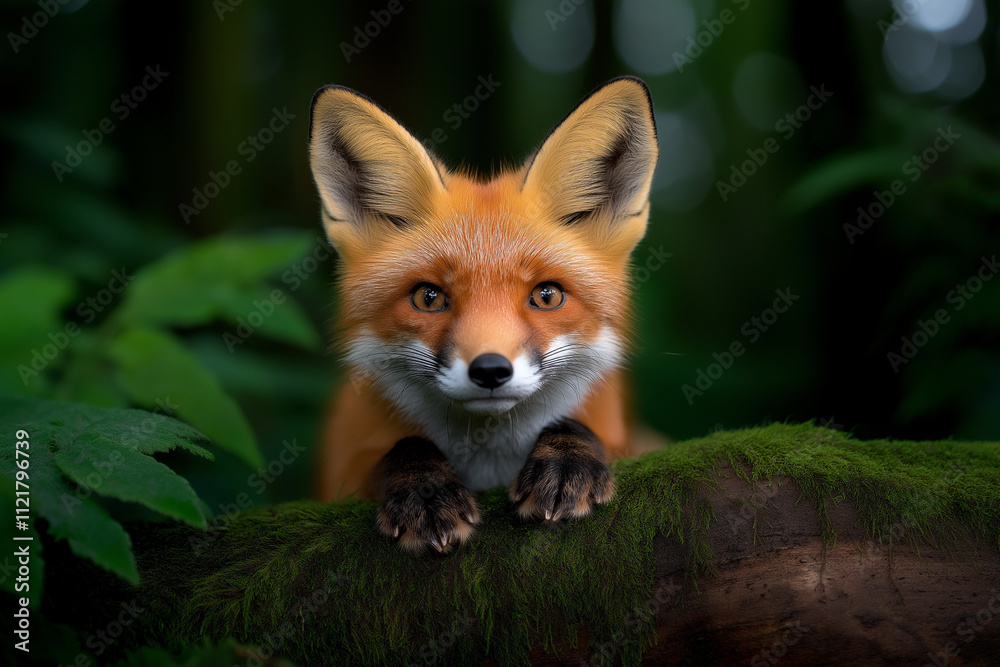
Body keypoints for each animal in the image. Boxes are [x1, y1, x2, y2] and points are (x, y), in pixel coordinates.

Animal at [308, 76, 659, 554]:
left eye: (547, 295)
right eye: (428, 298)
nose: (490, 370)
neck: (489, 460)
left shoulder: (631, 441)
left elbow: (584, 430)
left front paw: (567, 458)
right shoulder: (342, 474)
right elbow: (401, 448)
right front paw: (424, 489)